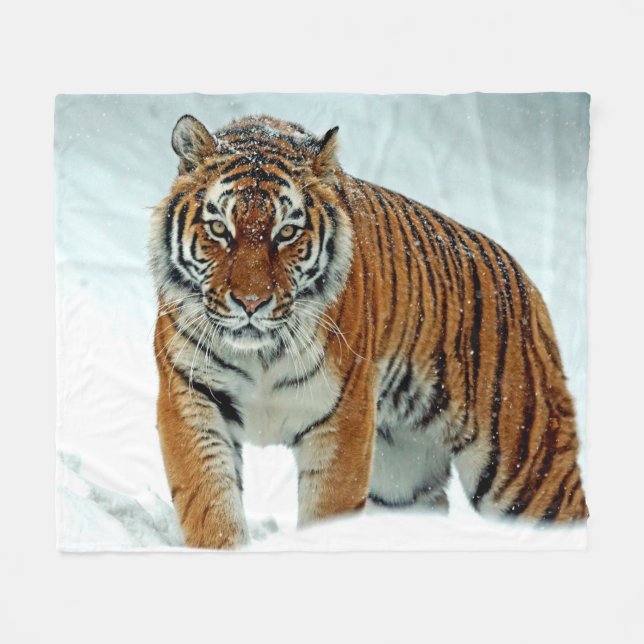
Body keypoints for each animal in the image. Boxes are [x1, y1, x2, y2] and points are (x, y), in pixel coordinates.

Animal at [149, 113, 589, 549]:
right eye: (219, 229)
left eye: (286, 232)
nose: (252, 302)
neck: (261, 352)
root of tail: (525, 283)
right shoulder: (190, 394)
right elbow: (210, 502)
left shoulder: (343, 417)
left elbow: (328, 512)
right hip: (402, 478)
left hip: (527, 466)